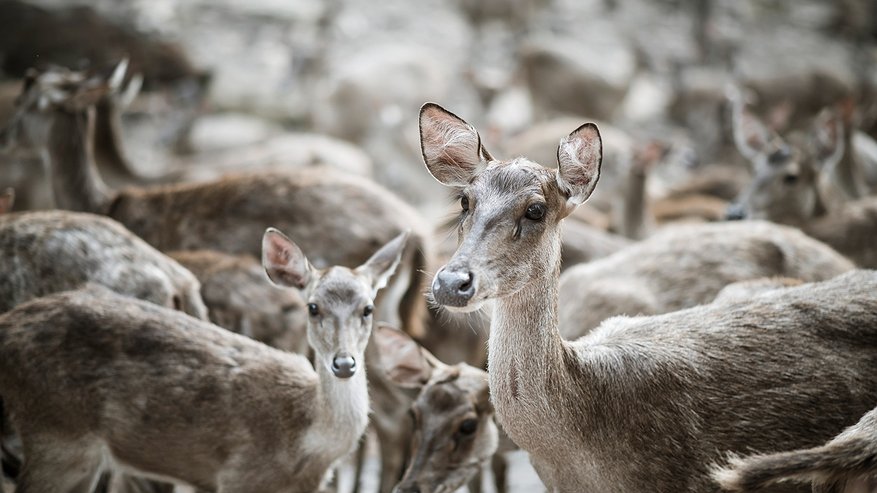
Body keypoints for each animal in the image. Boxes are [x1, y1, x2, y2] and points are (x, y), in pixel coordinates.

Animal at [0, 227, 408, 492]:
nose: (344, 363)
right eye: (313, 307)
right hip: (55, 431)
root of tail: (9, 324)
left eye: (368, 308)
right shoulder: (238, 476)